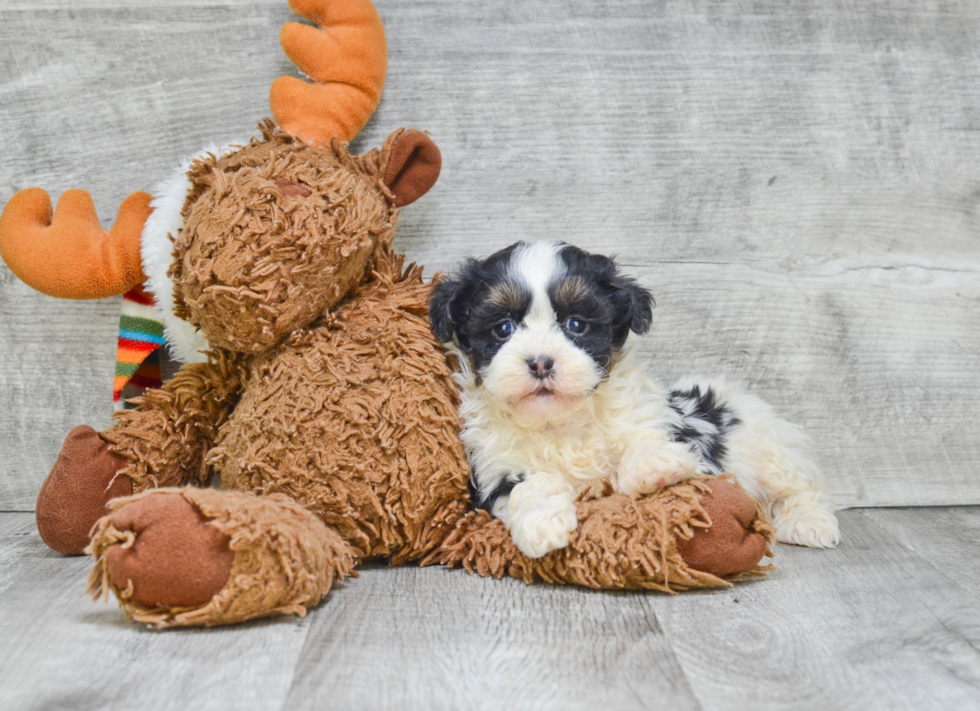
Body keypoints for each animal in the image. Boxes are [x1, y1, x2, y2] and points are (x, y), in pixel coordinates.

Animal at [430, 242, 844, 560]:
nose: (541, 362)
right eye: (503, 328)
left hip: (769, 450)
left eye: (577, 324)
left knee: (802, 486)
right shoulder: (492, 469)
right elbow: (528, 484)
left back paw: (809, 522)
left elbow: (641, 441)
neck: (559, 421)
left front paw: (655, 465)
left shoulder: (656, 419)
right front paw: (542, 524)